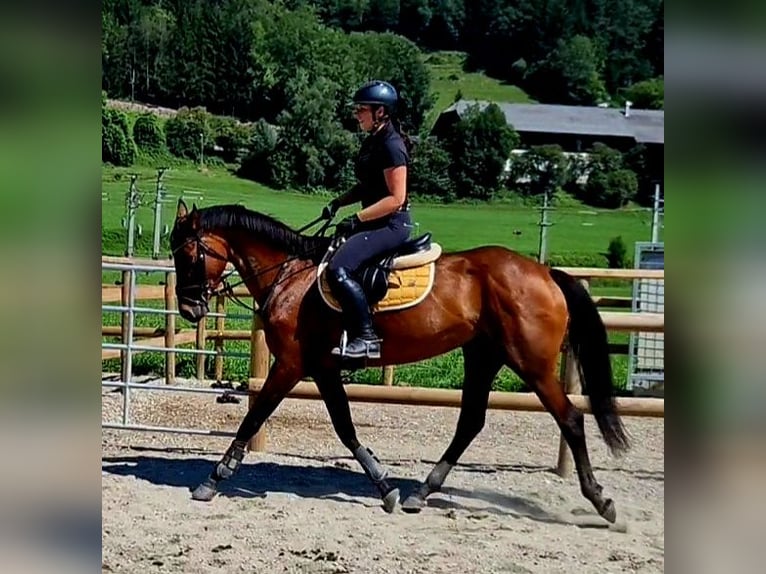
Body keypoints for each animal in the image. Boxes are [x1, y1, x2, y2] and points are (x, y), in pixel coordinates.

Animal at [171, 200, 632, 524]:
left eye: (189, 256)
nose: (190, 310)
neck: (291, 276)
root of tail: (546, 273)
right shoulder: (322, 367)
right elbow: (344, 426)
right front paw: (384, 486)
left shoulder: (290, 365)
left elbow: (255, 417)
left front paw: (214, 478)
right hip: (483, 355)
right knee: (470, 422)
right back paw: (420, 493)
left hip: (530, 363)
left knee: (570, 418)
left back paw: (601, 501)